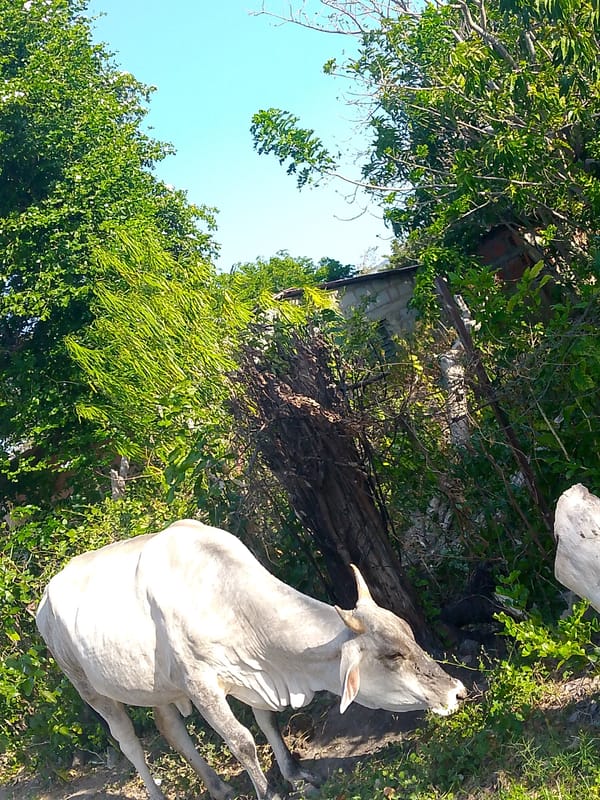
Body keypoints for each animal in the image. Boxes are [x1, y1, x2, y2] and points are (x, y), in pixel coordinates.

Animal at [36, 519, 466, 800]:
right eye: (392, 655)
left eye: (410, 635)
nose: (457, 692)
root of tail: (44, 599)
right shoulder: (201, 684)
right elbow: (242, 740)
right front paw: (269, 792)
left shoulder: (252, 676)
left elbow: (268, 723)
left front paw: (295, 775)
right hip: (90, 689)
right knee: (129, 745)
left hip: (157, 686)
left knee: (170, 727)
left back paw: (219, 787)